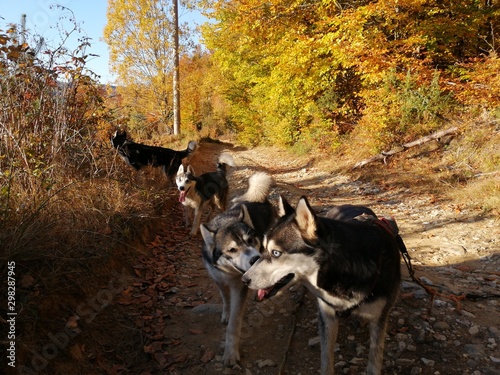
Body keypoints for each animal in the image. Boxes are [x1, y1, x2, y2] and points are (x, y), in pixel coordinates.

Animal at [201, 173, 276, 368]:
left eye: (250, 240)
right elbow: (225, 299)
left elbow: (234, 325)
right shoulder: (219, 279)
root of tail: (255, 199)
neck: (229, 273)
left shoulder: (239, 287)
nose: (255, 259)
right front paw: (226, 313)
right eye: (232, 250)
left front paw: (230, 353)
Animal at [242, 197, 402, 375]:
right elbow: (326, 358)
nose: (244, 279)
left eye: (276, 253)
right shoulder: (327, 315)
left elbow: (375, 360)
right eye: (263, 249)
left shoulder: (379, 320)